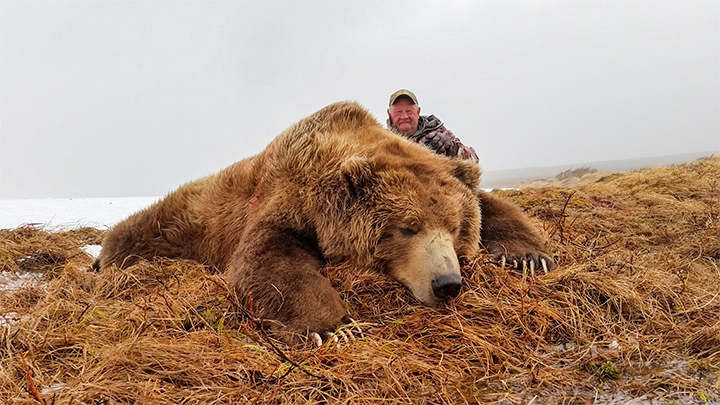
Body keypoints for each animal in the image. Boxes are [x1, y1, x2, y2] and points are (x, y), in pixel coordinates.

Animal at [95, 101, 556, 344]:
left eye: (456, 227)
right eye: (406, 228)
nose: (447, 283)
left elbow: (493, 205)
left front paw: (528, 257)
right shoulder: (286, 197)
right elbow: (267, 256)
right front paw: (333, 328)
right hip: (178, 220)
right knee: (138, 230)